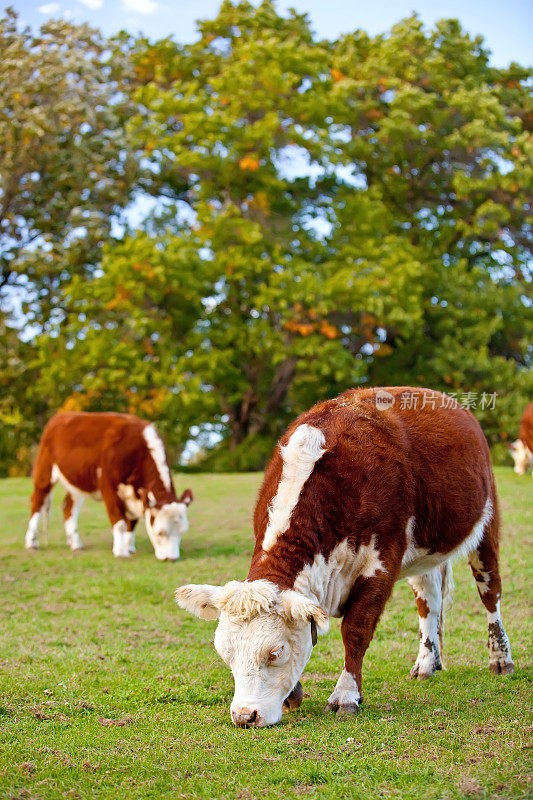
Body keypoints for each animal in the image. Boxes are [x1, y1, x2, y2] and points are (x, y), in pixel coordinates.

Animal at [175, 384, 512, 728]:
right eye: (224, 652)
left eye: (275, 652)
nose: (245, 715)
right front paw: (294, 693)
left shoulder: (381, 564)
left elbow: (355, 631)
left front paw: (346, 695)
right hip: (424, 552)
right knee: (428, 599)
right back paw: (427, 662)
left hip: (486, 524)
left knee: (490, 592)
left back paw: (501, 658)